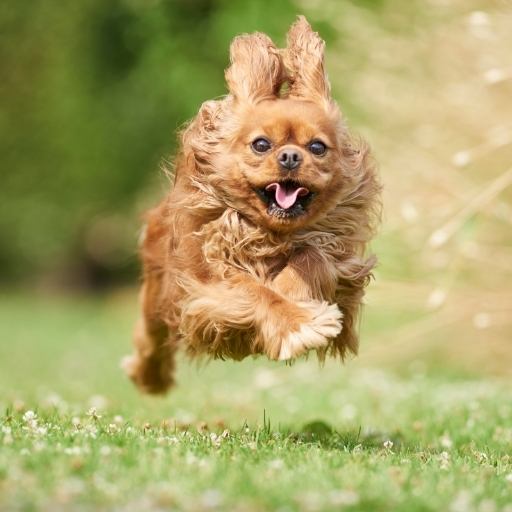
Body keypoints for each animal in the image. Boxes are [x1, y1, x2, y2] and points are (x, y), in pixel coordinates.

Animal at [123, 16, 380, 392]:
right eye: (261, 144)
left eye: (317, 147)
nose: (290, 156)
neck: (272, 236)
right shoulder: (209, 284)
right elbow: (255, 292)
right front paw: (298, 323)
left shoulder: (337, 259)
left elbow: (311, 257)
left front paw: (289, 291)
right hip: (160, 295)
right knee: (149, 337)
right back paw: (149, 377)